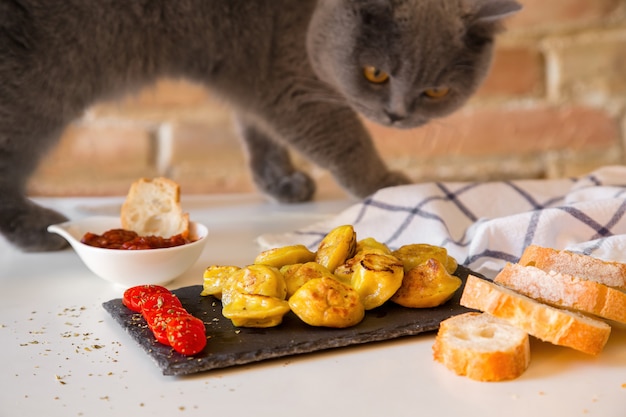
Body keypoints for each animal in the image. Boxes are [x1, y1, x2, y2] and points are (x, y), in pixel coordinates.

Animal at [0, 0, 516, 250]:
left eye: (436, 92)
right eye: (375, 73)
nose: (398, 114)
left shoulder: (256, 77)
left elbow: (256, 127)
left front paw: (281, 181)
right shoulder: (286, 78)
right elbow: (344, 135)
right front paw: (387, 184)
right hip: (35, 82)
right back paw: (37, 229)